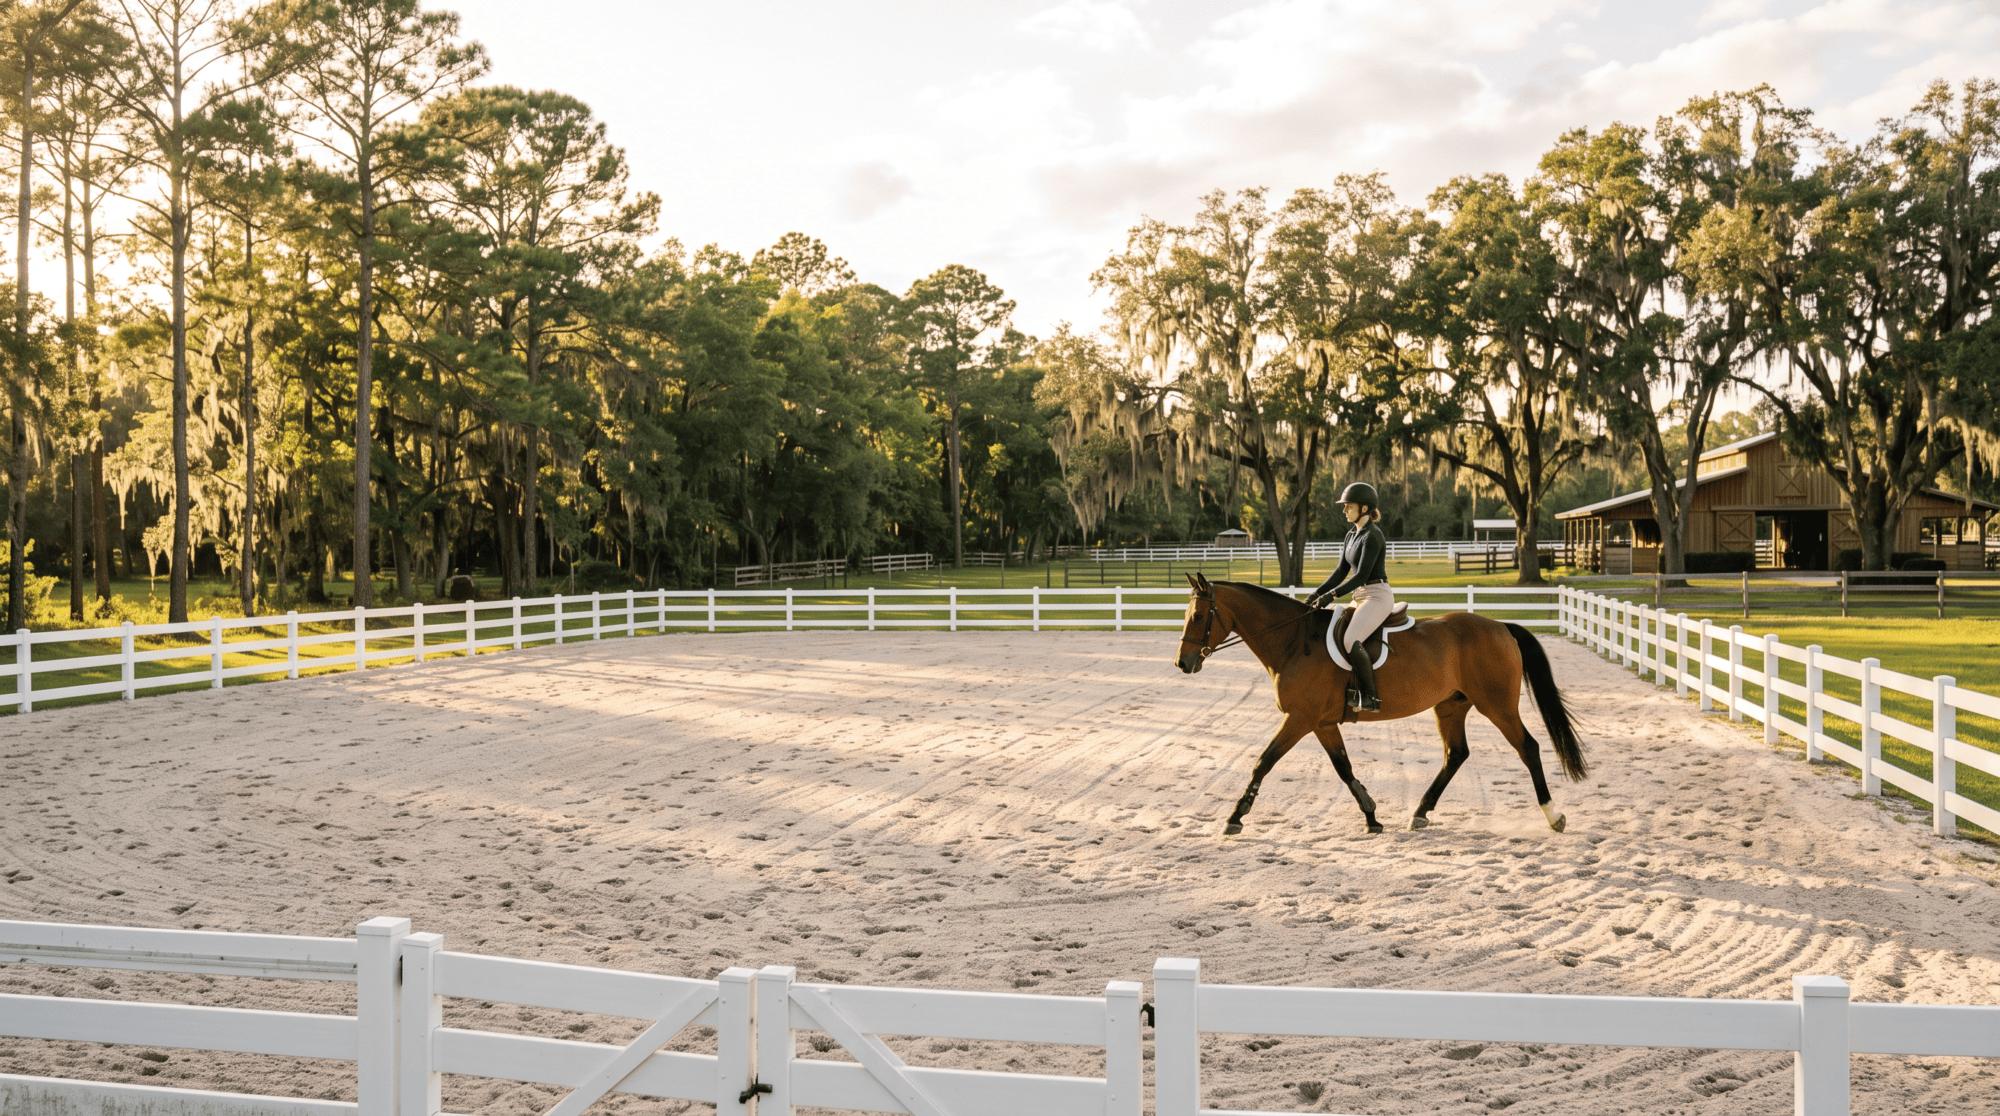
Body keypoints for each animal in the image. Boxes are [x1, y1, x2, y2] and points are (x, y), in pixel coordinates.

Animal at [1173, 574, 1587, 836]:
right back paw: (1420, 813)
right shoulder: (1321, 723)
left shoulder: (1300, 719)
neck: (1293, 642)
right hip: (1450, 707)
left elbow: (1263, 761)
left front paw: (1235, 817)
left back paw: (1553, 816)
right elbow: (1343, 768)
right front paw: (1372, 817)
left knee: (1528, 747)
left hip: (1497, 705)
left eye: (1199, 616)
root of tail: (1501, 625)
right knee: (1455, 754)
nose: (1183, 663)